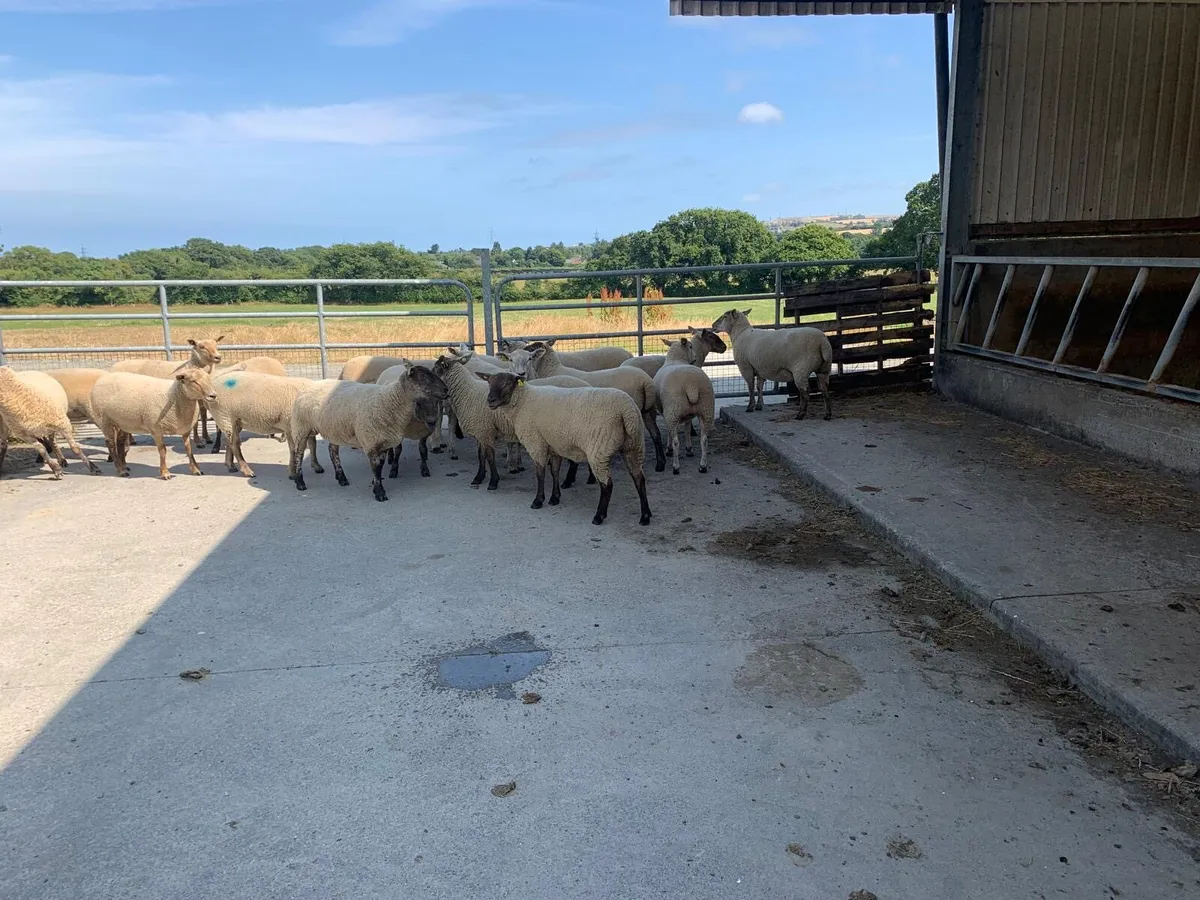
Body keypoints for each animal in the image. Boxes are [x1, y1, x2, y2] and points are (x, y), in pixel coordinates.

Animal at [289, 362, 449, 502]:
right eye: (422, 377)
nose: (446, 390)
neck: (390, 401)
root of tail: (311, 383)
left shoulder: (383, 441)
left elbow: (380, 466)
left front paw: (376, 485)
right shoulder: (370, 441)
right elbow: (376, 466)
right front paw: (379, 492)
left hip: (335, 428)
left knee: (332, 451)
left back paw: (341, 478)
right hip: (301, 427)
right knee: (299, 453)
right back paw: (300, 482)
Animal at [482, 372, 652, 526]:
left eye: (507, 383)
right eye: (489, 383)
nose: (490, 401)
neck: (523, 402)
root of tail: (627, 410)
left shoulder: (536, 442)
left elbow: (540, 474)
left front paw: (538, 501)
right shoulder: (554, 445)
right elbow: (555, 472)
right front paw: (555, 498)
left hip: (599, 450)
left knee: (607, 485)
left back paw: (599, 516)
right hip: (634, 446)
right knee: (639, 478)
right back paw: (645, 516)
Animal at [504, 339, 666, 483]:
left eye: (530, 353)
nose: (521, 373)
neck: (551, 370)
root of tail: (646, 381)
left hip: (633, 413)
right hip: (645, 411)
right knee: (656, 434)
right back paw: (660, 464)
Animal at [654, 337, 715, 475]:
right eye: (691, 346)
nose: (695, 357)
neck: (676, 359)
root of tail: (691, 386)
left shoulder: (666, 412)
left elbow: (670, 432)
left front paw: (669, 449)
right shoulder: (689, 414)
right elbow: (687, 428)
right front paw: (689, 449)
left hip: (673, 410)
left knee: (676, 441)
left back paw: (676, 467)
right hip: (706, 408)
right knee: (704, 439)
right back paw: (702, 466)